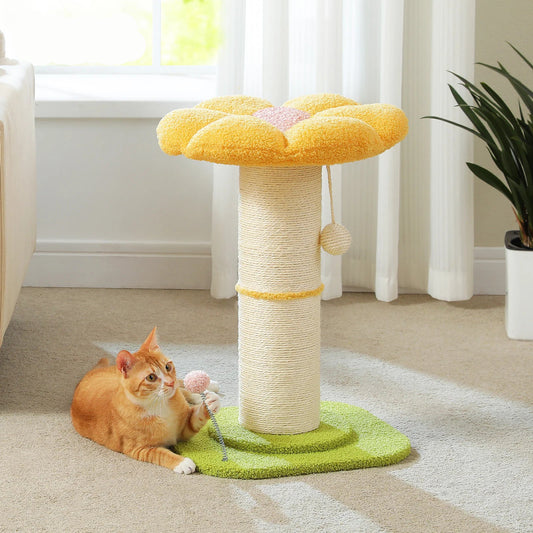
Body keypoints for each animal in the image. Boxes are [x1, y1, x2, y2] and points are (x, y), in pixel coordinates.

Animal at [70, 327, 220, 474]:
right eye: (151, 377)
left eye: (167, 367)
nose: (170, 383)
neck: (160, 405)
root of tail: (87, 376)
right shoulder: (139, 449)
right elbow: (161, 454)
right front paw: (182, 462)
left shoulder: (184, 426)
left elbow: (195, 416)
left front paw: (209, 404)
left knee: (181, 385)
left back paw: (207, 388)